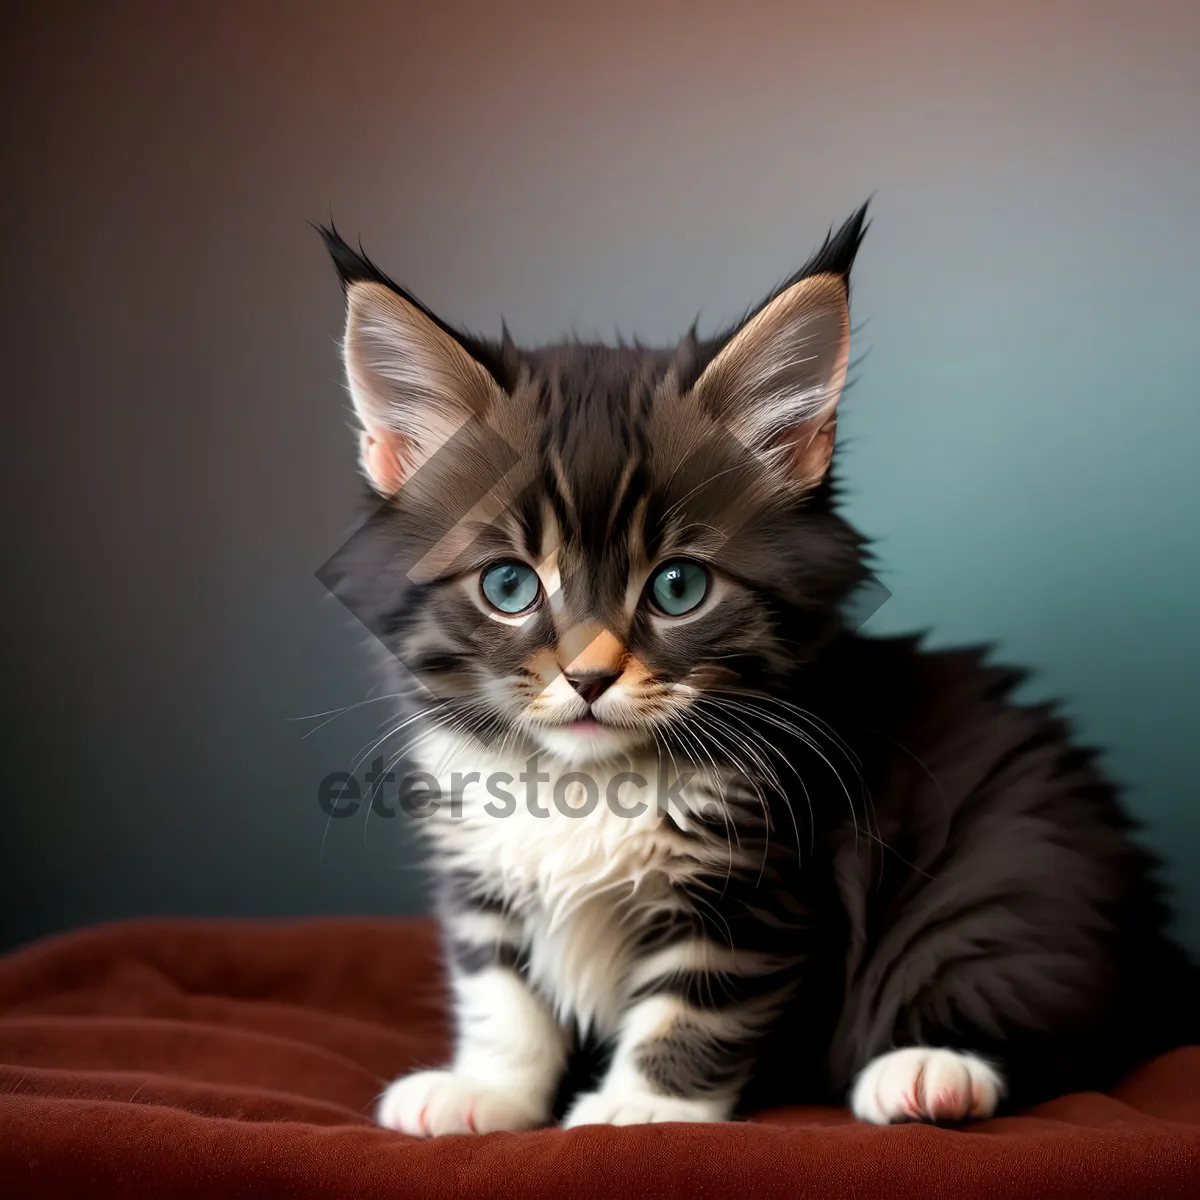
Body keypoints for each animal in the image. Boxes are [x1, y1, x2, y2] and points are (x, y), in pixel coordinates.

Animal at [316, 208, 1190, 1132]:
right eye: (509, 586)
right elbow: (502, 991)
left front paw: (638, 1111)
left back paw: (927, 1070)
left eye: (678, 587)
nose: (588, 678)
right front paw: (486, 1090)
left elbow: (690, 1007)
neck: (586, 786)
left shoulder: (758, 883)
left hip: (1019, 873)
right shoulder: (478, 867)